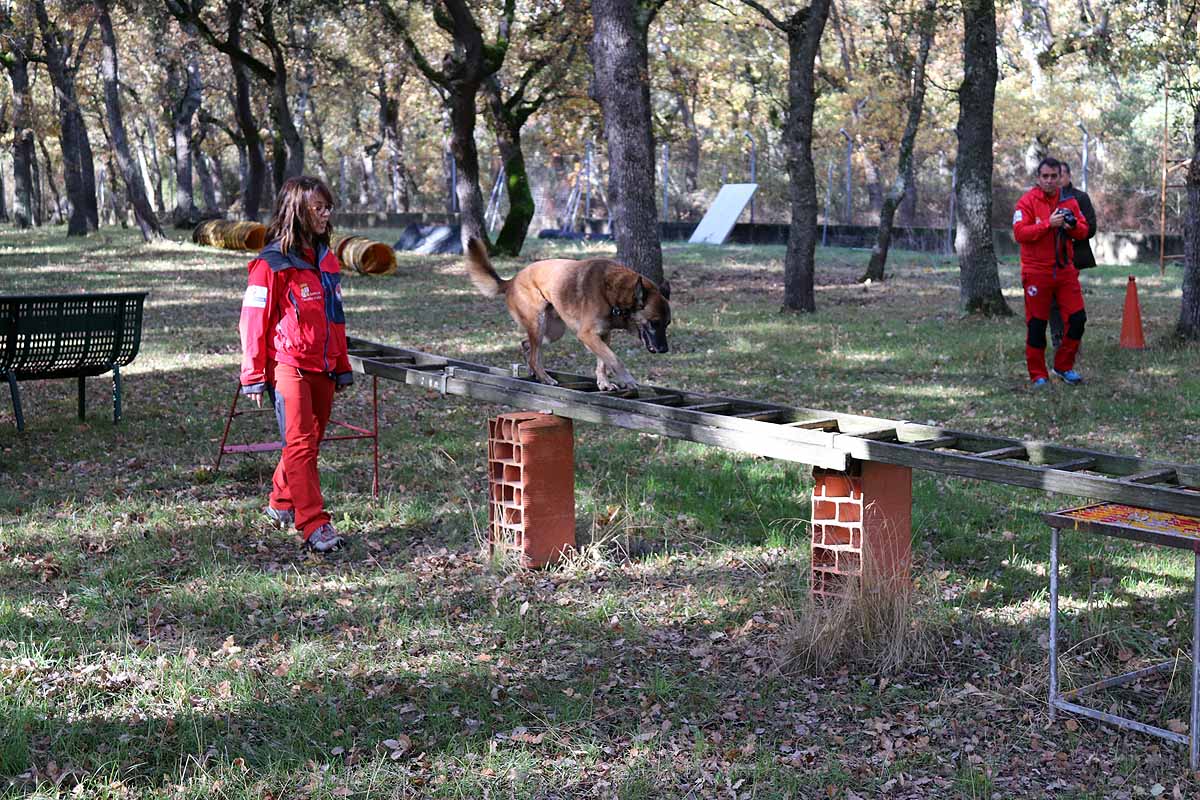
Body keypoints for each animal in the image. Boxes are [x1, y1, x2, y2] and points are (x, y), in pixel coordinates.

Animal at [465, 237, 672, 391]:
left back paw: (534, 372)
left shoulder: (603, 335)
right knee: (534, 354)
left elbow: (603, 362)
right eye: (654, 322)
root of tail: (512, 280)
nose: (664, 350)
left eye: (667, 324)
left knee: (527, 346)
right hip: (538, 324)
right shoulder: (587, 335)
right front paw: (627, 380)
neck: (613, 293)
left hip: (553, 332)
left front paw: (604, 383)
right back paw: (545, 378)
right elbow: (614, 359)